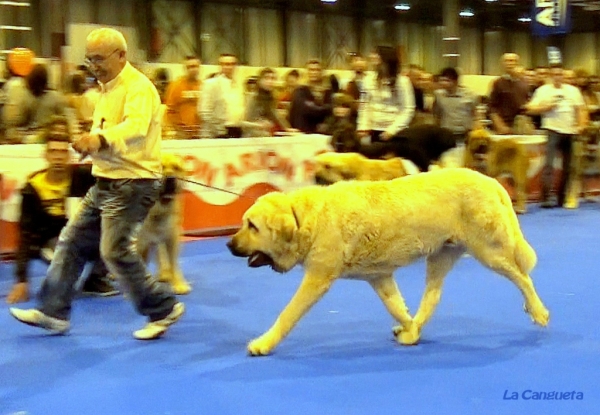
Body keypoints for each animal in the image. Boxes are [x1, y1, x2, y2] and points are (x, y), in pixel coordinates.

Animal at [137, 154, 191, 296]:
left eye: (176, 168)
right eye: (160, 167)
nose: (171, 178)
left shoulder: (172, 238)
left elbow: (173, 263)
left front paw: (178, 284)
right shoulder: (139, 242)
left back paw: (164, 274)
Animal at [227, 167, 552, 356]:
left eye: (252, 226)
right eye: (243, 223)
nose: (229, 245)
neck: (304, 220)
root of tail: (491, 181)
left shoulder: (317, 279)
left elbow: (288, 314)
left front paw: (264, 343)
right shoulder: (379, 277)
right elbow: (396, 307)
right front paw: (410, 330)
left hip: (489, 252)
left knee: (522, 277)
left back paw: (538, 311)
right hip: (440, 257)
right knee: (432, 297)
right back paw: (414, 329)